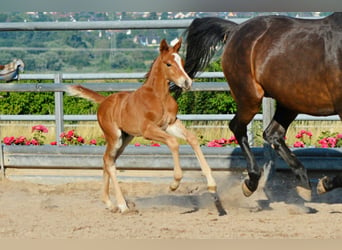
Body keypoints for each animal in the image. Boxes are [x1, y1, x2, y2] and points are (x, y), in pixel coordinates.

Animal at [66, 38, 219, 214]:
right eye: (168, 64)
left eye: (182, 62)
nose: (187, 82)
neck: (159, 97)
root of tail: (104, 101)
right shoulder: (148, 130)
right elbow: (173, 142)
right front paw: (174, 183)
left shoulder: (171, 124)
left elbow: (192, 139)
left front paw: (211, 184)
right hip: (114, 137)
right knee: (108, 161)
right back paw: (122, 206)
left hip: (126, 138)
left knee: (109, 160)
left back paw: (110, 203)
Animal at [183, 13, 342, 201]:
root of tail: (235, 30)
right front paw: (325, 183)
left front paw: (324, 183)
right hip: (251, 97)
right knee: (238, 127)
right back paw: (251, 182)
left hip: (290, 101)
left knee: (272, 134)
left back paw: (303, 181)